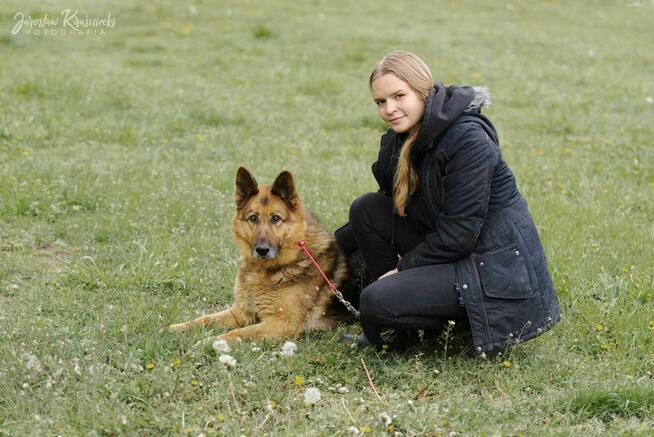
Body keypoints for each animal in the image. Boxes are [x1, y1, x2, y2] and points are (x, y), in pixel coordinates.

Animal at [167, 167, 356, 340]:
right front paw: (177, 328)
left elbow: (237, 333)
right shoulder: (241, 311)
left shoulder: (283, 323)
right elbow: (204, 319)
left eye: (275, 218)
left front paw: (208, 342)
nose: (262, 250)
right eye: (253, 218)